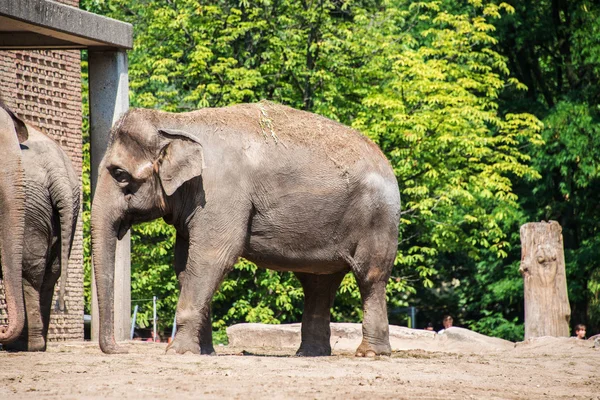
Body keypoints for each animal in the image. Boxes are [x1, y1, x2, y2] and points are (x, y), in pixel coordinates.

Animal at [0, 101, 79, 354]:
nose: (2, 330)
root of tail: (59, 173)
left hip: (33, 208)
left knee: (29, 271)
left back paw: (24, 345)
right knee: (49, 271)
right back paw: (35, 344)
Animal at [94, 101, 400, 358]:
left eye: (120, 174)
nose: (121, 350)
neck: (176, 121)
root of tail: (385, 161)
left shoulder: (220, 192)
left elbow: (212, 257)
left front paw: (178, 353)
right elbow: (184, 263)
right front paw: (204, 352)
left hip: (378, 219)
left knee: (370, 277)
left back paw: (370, 354)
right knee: (318, 283)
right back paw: (310, 355)